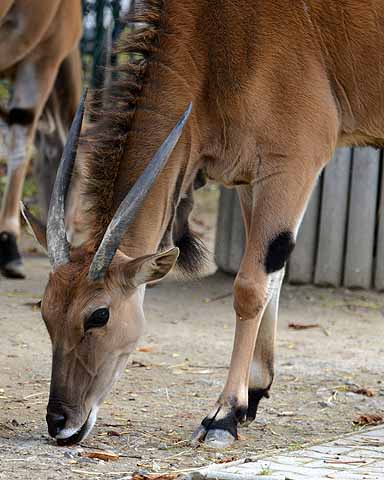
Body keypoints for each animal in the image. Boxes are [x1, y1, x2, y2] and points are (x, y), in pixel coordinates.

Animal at [22, 0, 384, 448]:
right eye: (46, 310)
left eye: (99, 315)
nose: (60, 422)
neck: (209, 41)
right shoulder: (252, 181)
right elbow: (273, 277)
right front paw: (254, 392)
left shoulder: (292, 166)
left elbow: (250, 287)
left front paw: (224, 414)